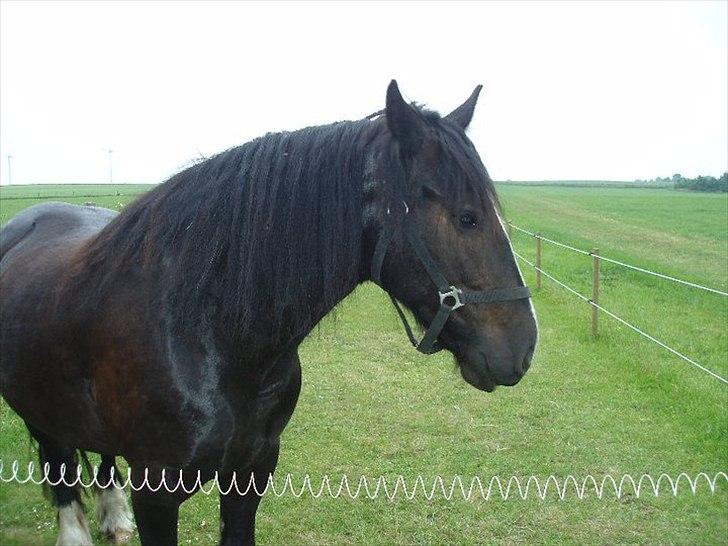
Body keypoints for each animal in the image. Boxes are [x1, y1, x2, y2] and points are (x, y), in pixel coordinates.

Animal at [0, 81, 537, 545]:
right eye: (467, 218)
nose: (523, 348)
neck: (209, 333)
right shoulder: (157, 490)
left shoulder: (252, 472)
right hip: (35, 405)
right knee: (59, 464)